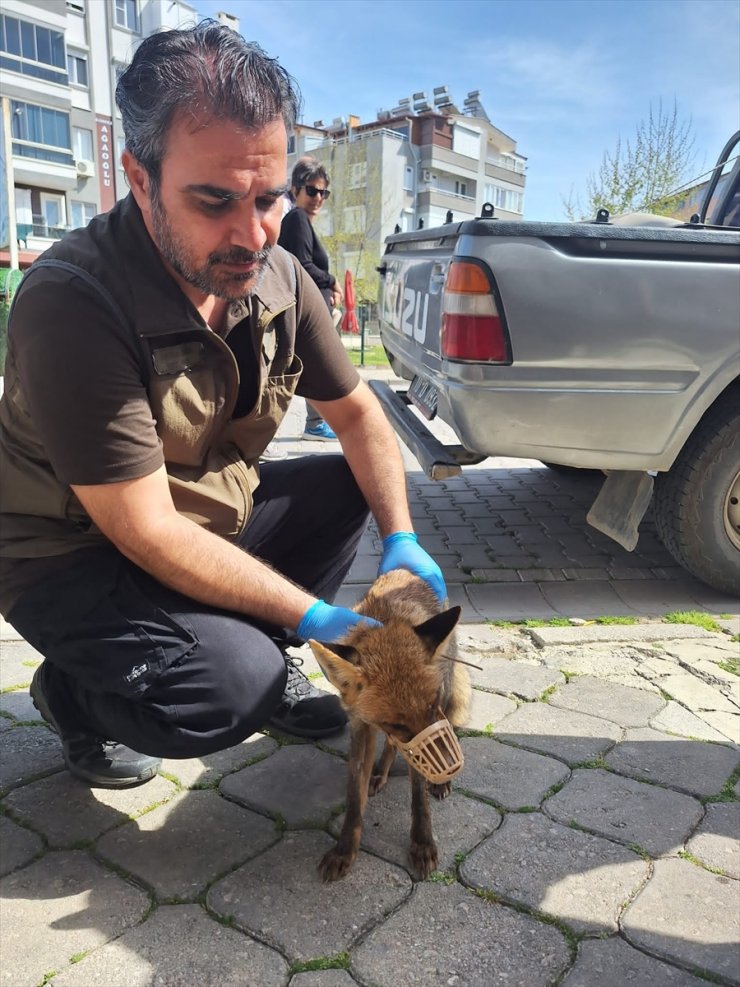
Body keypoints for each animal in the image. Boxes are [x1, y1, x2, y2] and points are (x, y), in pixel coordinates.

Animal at [310, 568, 472, 884]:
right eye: (396, 722)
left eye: (433, 705)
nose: (451, 766)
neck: (388, 616)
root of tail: (404, 571)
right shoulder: (363, 725)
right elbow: (354, 797)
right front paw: (345, 850)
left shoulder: (427, 729)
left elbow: (419, 798)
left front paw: (422, 843)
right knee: (389, 747)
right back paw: (380, 774)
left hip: (450, 689)